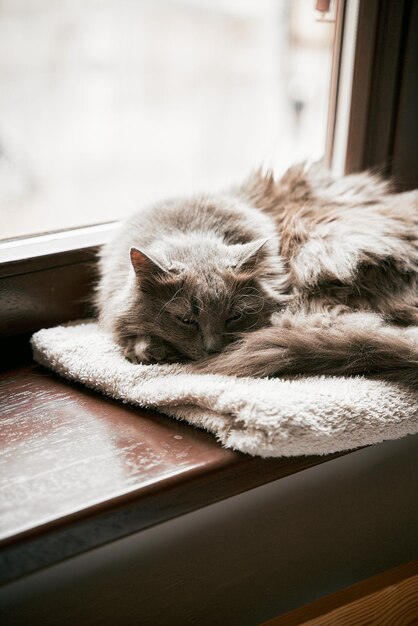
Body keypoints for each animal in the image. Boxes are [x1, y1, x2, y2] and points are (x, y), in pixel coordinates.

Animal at [95, 163, 418, 382]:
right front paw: (147, 348)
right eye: (187, 320)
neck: (189, 228)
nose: (214, 350)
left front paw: (148, 349)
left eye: (234, 316)